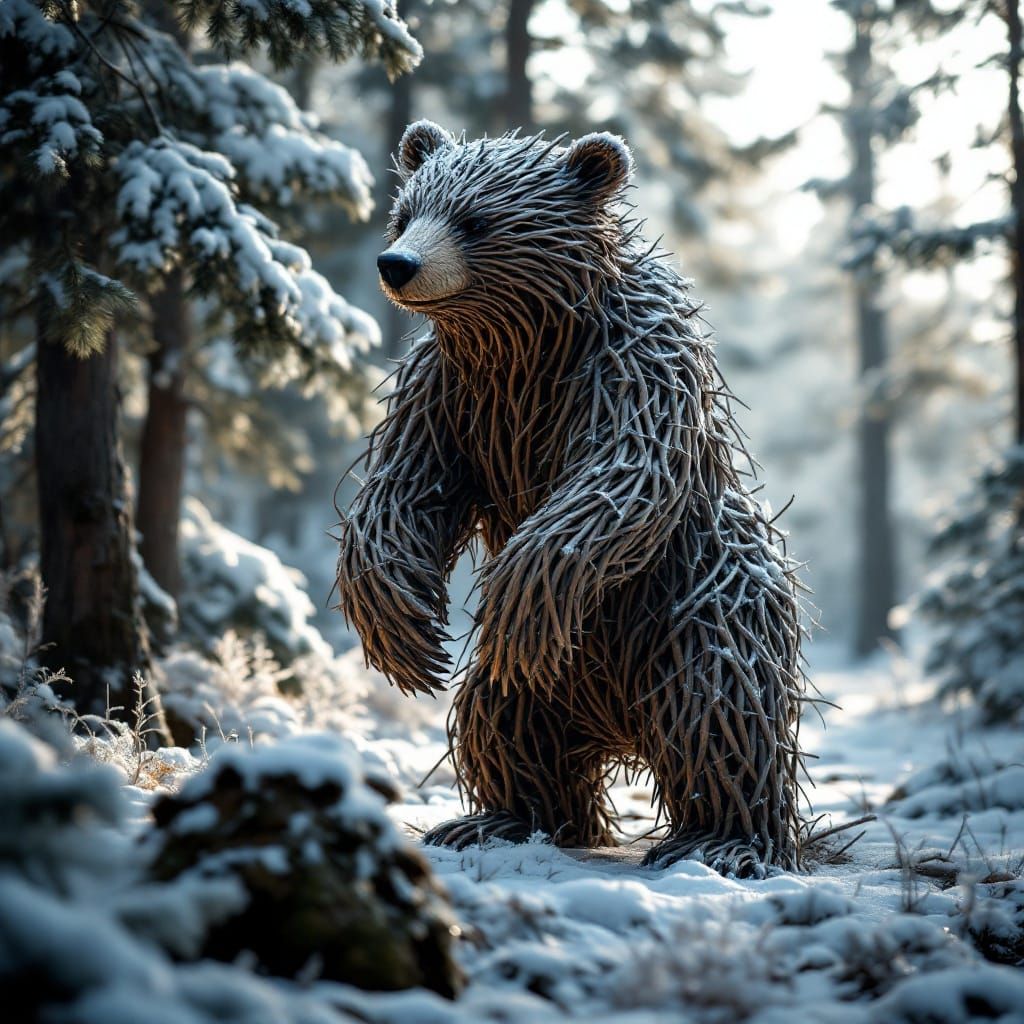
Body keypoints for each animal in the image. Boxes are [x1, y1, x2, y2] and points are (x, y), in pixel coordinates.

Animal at [336, 120, 806, 877]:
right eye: (405, 213)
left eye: (475, 221)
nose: (397, 264)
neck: (522, 343)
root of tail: (620, 730)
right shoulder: (446, 395)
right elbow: (403, 491)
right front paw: (407, 633)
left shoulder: (633, 362)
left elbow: (621, 477)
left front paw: (513, 604)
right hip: (545, 688)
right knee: (502, 719)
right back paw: (495, 821)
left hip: (700, 612)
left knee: (715, 713)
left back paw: (720, 841)